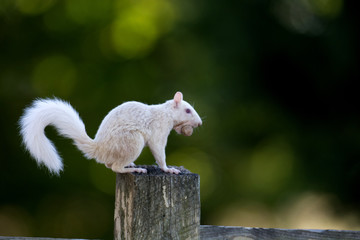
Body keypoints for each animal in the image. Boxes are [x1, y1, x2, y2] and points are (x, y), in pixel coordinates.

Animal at [19, 92, 202, 174]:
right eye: (187, 110)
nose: (199, 123)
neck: (166, 113)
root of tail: (100, 149)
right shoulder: (159, 130)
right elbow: (158, 151)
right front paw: (168, 169)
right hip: (132, 141)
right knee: (115, 168)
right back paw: (134, 169)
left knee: (110, 165)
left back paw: (131, 165)